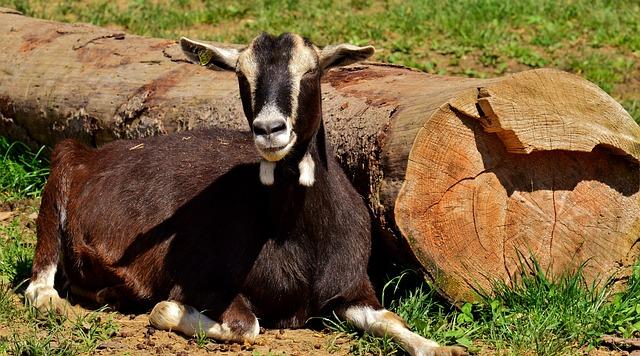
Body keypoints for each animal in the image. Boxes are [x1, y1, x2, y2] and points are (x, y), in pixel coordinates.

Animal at [26, 33, 464, 356]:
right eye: (241, 74)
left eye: (312, 71)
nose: (269, 129)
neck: (294, 235)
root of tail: (94, 155)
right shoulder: (203, 283)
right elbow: (239, 324)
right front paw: (165, 309)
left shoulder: (352, 288)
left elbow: (391, 320)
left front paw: (442, 348)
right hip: (60, 166)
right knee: (38, 283)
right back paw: (56, 299)